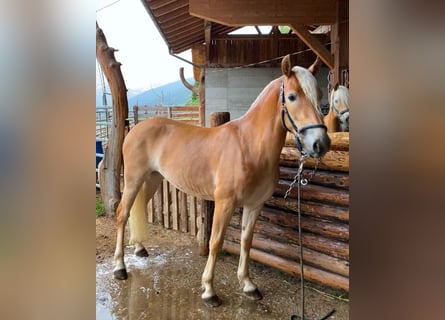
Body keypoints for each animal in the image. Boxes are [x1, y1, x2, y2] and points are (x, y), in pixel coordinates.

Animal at [114, 55, 330, 308]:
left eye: (320, 95)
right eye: (292, 96)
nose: (321, 144)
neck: (249, 146)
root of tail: (135, 128)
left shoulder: (254, 205)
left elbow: (247, 241)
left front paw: (248, 285)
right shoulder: (224, 203)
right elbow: (215, 242)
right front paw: (209, 290)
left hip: (152, 180)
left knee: (136, 210)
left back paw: (139, 249)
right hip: (133, 180)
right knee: (122, 213)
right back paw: (119, 268)